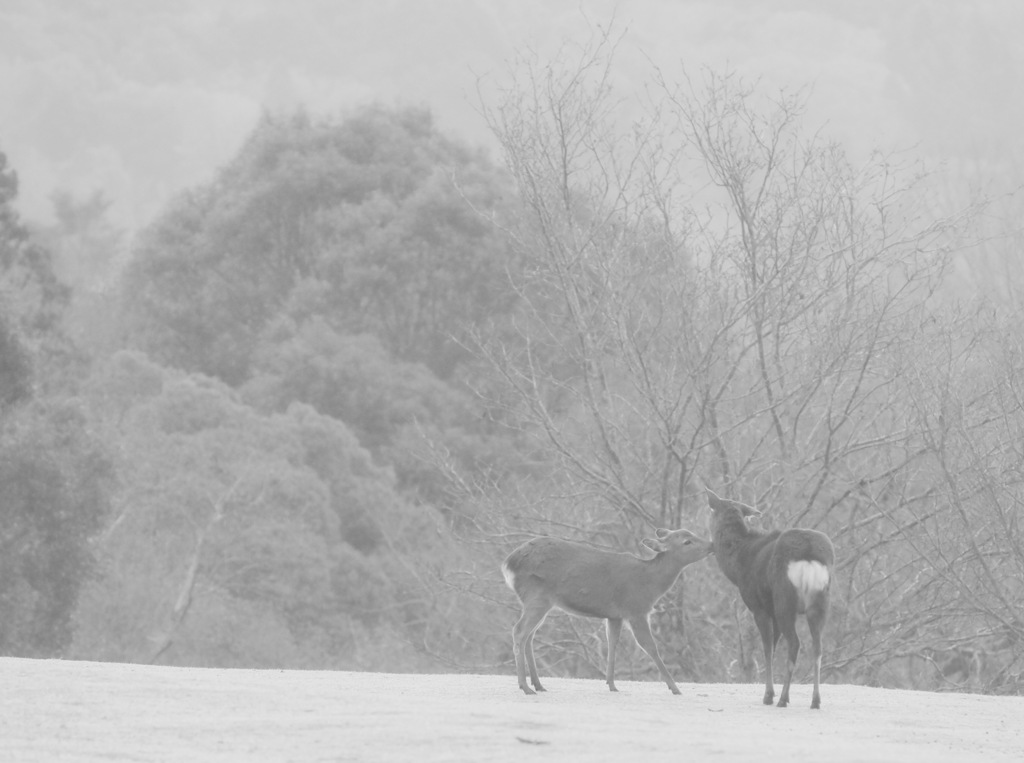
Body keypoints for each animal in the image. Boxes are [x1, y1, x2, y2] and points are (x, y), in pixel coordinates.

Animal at [501, 528, 712, 692]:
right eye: (687, 541)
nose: (711, 544)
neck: (650, 583)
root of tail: (508, 563)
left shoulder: (614, 616)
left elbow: (612, 644)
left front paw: (611, 684)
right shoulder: (636, 609)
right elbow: (650, 647)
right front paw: (675, 687)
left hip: (539, 601)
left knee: (529, 635)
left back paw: (537, 684)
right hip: (537, 596)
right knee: (519, 631)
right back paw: (525, 686)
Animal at [708, 487, 835, 708]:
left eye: (713, 513)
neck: (738, 565)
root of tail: (810, 555)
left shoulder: (759, 607)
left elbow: (768, 649)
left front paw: (769, 694)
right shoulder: (772, 612)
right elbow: (773, 647)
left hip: (785, 601)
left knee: (795, 644)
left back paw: (783, 699)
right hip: (820, 603)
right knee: (817, 647)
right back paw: (815, 700)